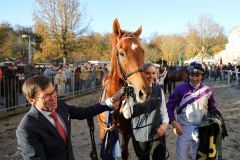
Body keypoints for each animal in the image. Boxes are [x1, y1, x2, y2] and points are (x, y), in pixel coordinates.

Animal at [97, 18, 150, 159]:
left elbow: (124, 153)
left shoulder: (125, 132)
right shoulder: (103, 131)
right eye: (121, 53)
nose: (144, 92)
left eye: (142, 52)